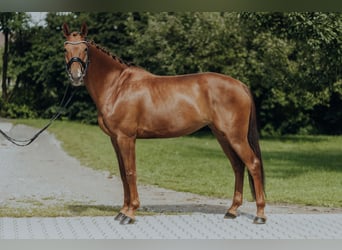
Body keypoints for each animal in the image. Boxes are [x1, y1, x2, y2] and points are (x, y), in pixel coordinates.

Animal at [64, 23, 268, 225]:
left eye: (85, 49)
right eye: (65, 49)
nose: (76, 76)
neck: (117, 87)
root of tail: (241, 85)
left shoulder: (126, 138)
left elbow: (130, 172)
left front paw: (130, 213)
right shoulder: (115, 140)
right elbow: (122, 174)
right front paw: (122, 211)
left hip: (236, 137)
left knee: (253, 164)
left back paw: (260, 215)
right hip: (222, 136)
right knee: (238, 167)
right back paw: (232, 210)